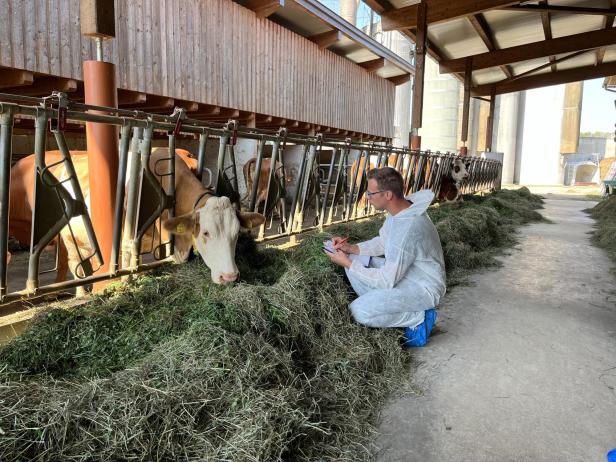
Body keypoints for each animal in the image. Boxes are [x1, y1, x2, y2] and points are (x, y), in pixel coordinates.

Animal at [8, 148, 264, 286]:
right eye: (206, 233)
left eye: (236, 234)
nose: (229, 276)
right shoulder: (128, 241)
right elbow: (127, 268)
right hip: (69, 237)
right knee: (73, 264)